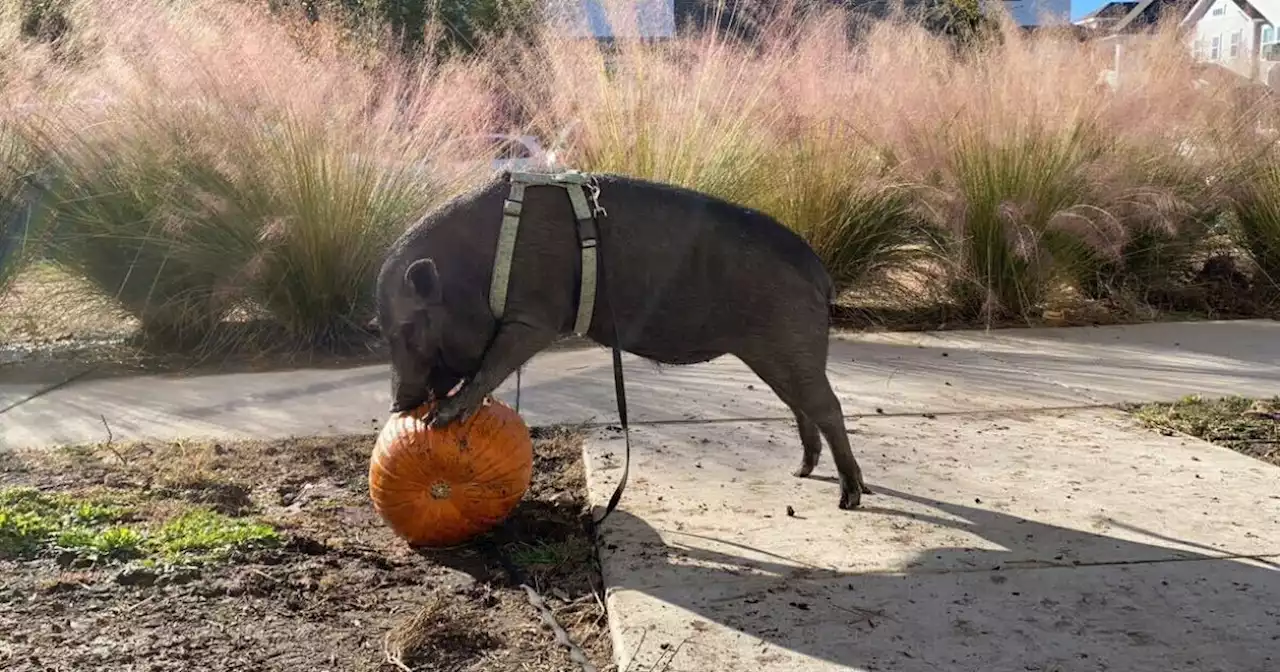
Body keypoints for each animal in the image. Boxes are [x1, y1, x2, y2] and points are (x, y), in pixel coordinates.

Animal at [373, 170, 875, 506]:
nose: (398, 405)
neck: (479, 270)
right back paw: (802, 472)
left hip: (789, 339)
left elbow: (493, 364)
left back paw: (849, 497)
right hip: (774, 353)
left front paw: (440, 419)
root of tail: (819, 271)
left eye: (407, 329)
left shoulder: (535, 316)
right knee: (799, 405)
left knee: (827, 406)